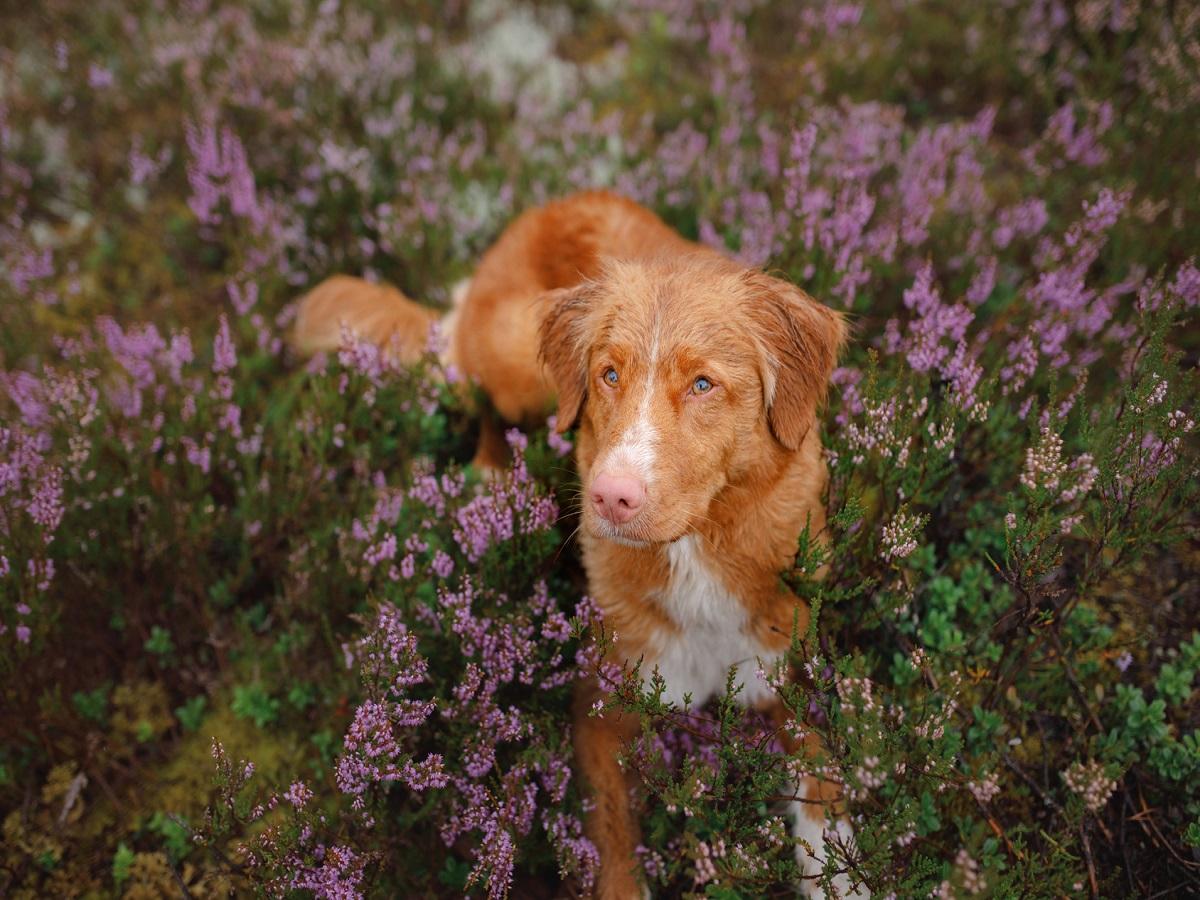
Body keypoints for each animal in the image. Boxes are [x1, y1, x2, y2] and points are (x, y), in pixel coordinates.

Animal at [296, 188, 868, 897]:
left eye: (703, 384)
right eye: (610, 375)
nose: (609, 498)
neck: (697, 553)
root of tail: (553, 203)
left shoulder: (789, 674)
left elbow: (824, 786)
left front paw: (845, 877)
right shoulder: (599, 706)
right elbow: (613, 838)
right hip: (518, 361)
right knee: (484, 402)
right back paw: (489, 478)